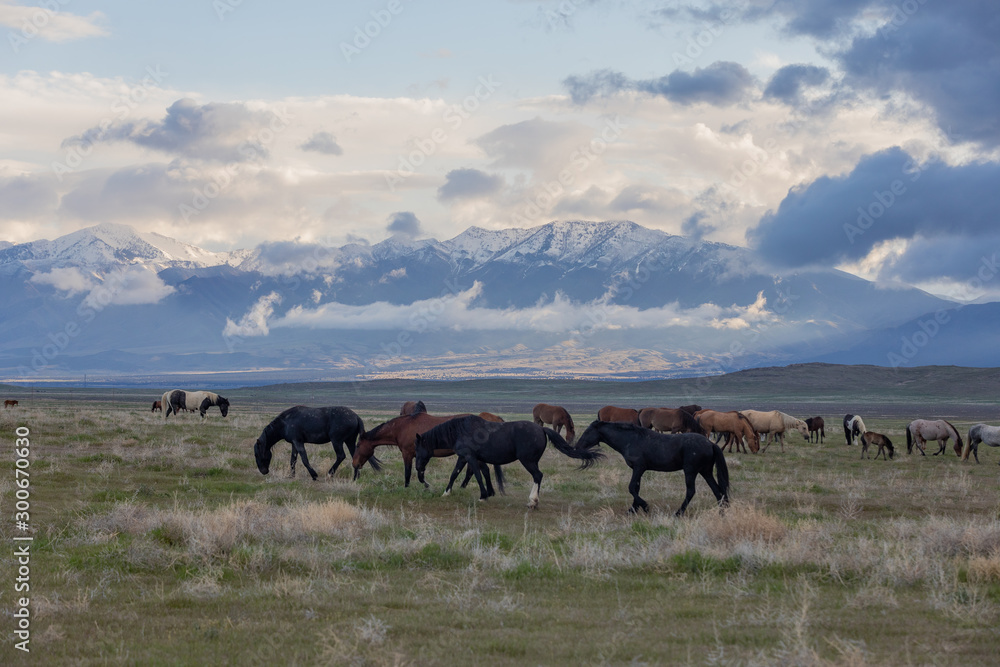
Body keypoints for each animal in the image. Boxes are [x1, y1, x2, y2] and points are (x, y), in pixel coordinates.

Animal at [414, 414, 600, 508]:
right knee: (538, 476)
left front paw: (482, 496)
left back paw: (533, 501)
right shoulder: (465, 457)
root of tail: (541, 429)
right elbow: (458, 474)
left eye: (417, 450)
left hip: (528, 461)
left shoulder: (470, 457)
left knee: (538, 476)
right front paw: (446, 492)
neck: (460, 430)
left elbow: (477, 475)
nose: (418, 469)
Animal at [576, 422, 732, 516]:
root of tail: (710, 444)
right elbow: (636, 488)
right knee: (717, 490)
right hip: (705, 471)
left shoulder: (638, 468)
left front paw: (644, 507)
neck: (631, 440)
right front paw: (633, 510)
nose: (577, 447)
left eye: (587, 432)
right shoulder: (638, 470)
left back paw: (678, 513)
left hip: (690, 471)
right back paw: (722, 512)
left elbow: (631, 487)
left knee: (691, 491)